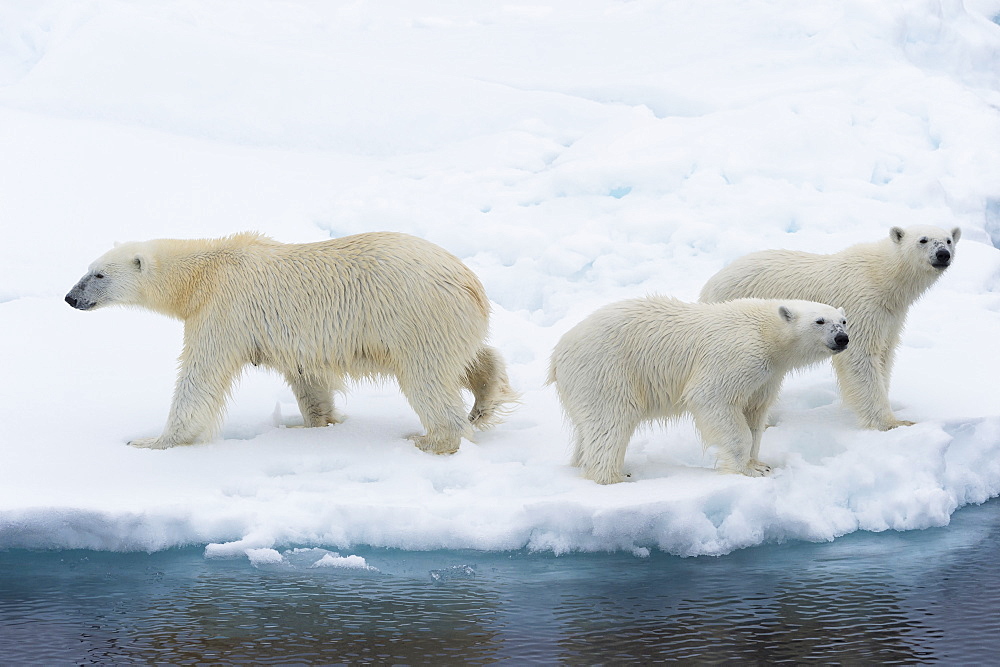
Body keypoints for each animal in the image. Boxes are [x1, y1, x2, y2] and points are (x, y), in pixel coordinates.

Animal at [63, 232, 520, 456]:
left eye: (99, 275)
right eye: (87, 269)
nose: (70, 297)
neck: (205, 272)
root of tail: (470, 282)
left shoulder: (225, 310)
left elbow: (200, 376)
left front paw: (153, 442)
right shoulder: (294, 340)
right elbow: (309, 380)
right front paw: (316, 425)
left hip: (415, 315)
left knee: (427, 378)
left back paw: (431, 440)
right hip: (446, 320)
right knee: (471, 357)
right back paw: (485, 399)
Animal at [552, 298, 848, 486]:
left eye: (844, 321)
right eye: (820, 321)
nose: (842, 338)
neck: (766, 332)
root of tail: (558, 352)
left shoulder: (767, 376)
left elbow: (754, 413)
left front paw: (759, 464)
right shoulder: (737, 355)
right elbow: (714, 399)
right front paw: (745, 471)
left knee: (589, 429)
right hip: (607, 370)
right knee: (612, 420)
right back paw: (613, 477)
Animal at [700, 226, 956, 434]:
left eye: (949, 239)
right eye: (923, 239)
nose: (943, 254)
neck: (882, 276)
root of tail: (708, 286)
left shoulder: (890, 316)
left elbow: (884, 354)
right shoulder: (861, 303)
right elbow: (860, 357)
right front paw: (892, 422)